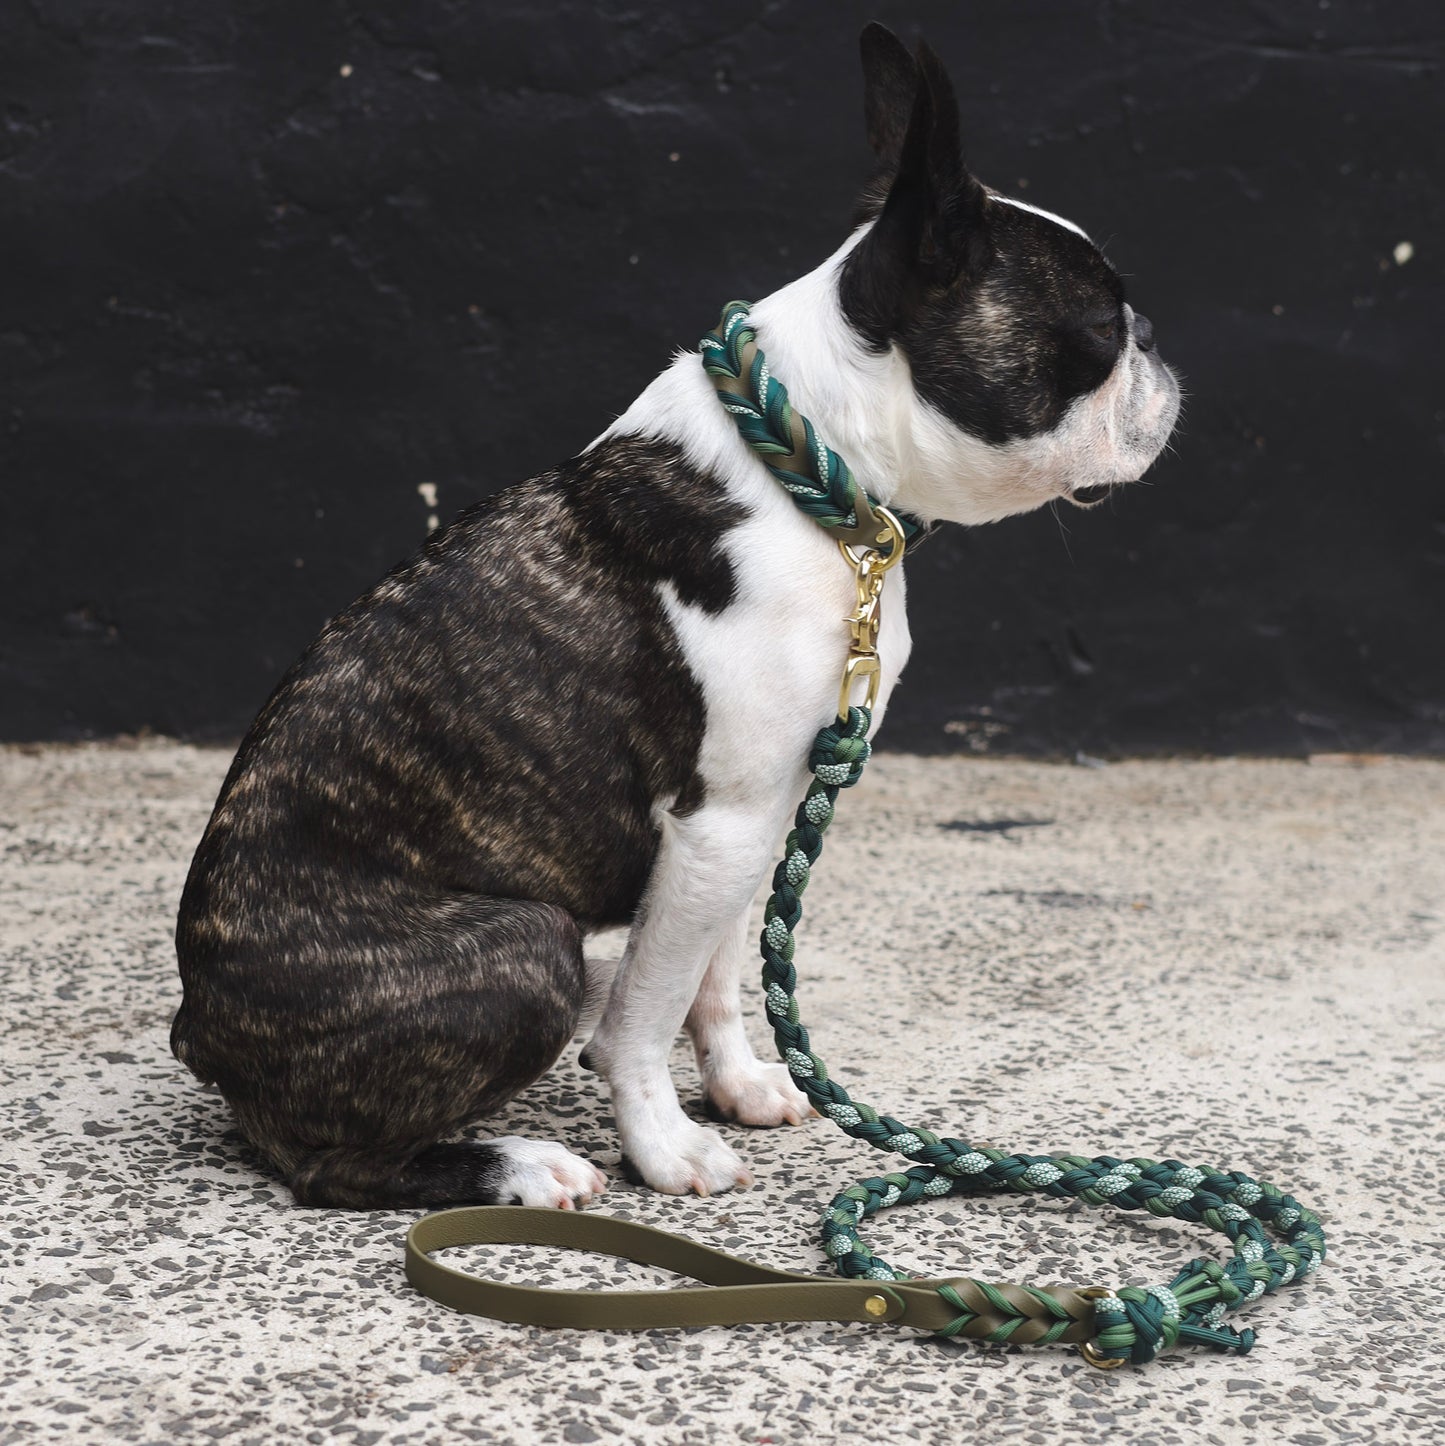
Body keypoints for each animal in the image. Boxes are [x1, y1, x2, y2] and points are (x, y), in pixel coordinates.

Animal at [175, 28, 1180, 1214]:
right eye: (1102, 328)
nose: (1159, 350)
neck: (810, 478)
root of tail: (201, 1025)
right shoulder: (720, 822)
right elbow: (644, 1016)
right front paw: (663, 1146)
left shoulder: (758, 818)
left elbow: (716, 970)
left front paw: (740, 1084)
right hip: (526, 945)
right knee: (335, 1163)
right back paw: (517, 1166)